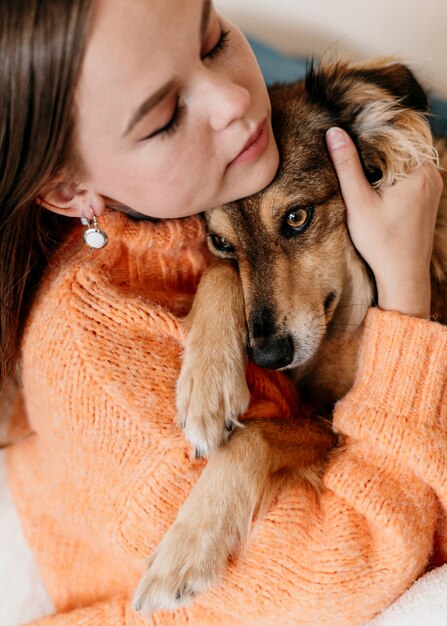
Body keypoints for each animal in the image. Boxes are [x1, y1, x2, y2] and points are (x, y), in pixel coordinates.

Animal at [133, 59, 447, 616]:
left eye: (297, 217)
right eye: (222, 242)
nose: (268, 355)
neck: (348, 311)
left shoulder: (334, 421)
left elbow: (255, 437)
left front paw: (185, 550)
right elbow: (217, 277)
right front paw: (207, 388)